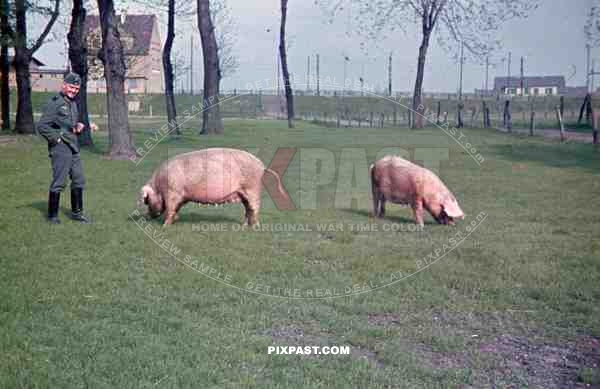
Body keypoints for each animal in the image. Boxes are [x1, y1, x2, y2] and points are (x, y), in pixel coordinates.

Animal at [139, 149, 288, 227]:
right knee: (247, 208)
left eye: (146, 200)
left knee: (255, 207)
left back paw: (255, 226)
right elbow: (176, 208)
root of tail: (262, 166)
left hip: (252, 187)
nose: (147, 216)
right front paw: (176, 220)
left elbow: (170, 208)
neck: (159, 185)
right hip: (243, 192)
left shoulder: (172, 192)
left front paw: (165, 225)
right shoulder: (181, 196)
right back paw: (244, 225)